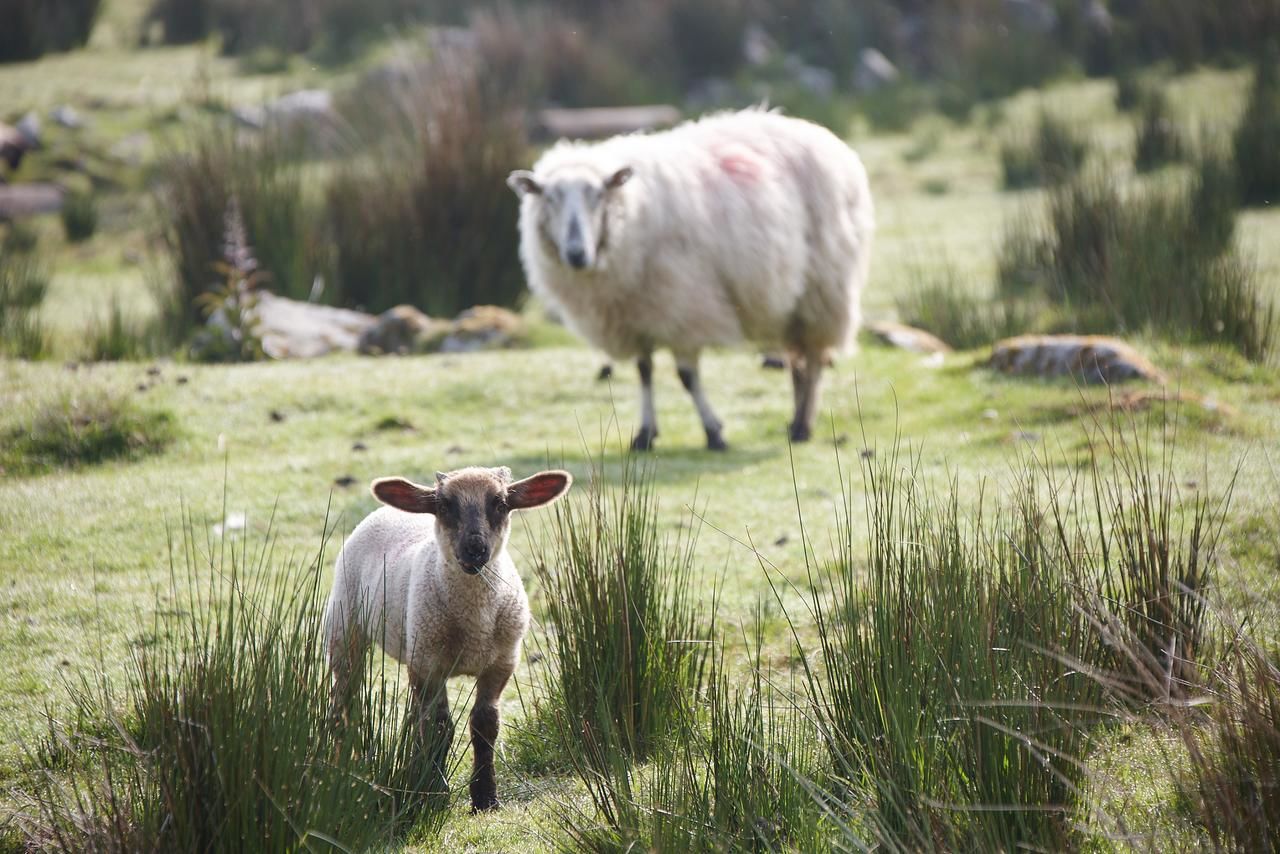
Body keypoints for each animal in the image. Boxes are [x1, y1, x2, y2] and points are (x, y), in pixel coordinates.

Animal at [322, 463, 573, 814]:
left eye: (500, 503)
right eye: (444, 505)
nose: (475, 549)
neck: (474, 621)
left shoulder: (501, 663)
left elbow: (485, 724)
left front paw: (485, 798)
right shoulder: (429, 665)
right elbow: (439, 727)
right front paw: (436, 795)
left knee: (411, 714)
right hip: (346, 627)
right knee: (345, 702)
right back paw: (346, 762)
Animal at [504, 107, 875, 450]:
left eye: (598, 195)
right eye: (549, 198)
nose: (576, 254)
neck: (629, 216)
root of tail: (822, 135)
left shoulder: (681, 307)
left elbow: (686, 377)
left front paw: (713, 432)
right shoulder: (637, 313)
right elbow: (644, 372)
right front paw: (645, 434)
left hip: (824, 289)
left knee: (813, 359)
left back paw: (801, 427)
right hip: (792, 305)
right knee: (797, 361)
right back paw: (796, 420)